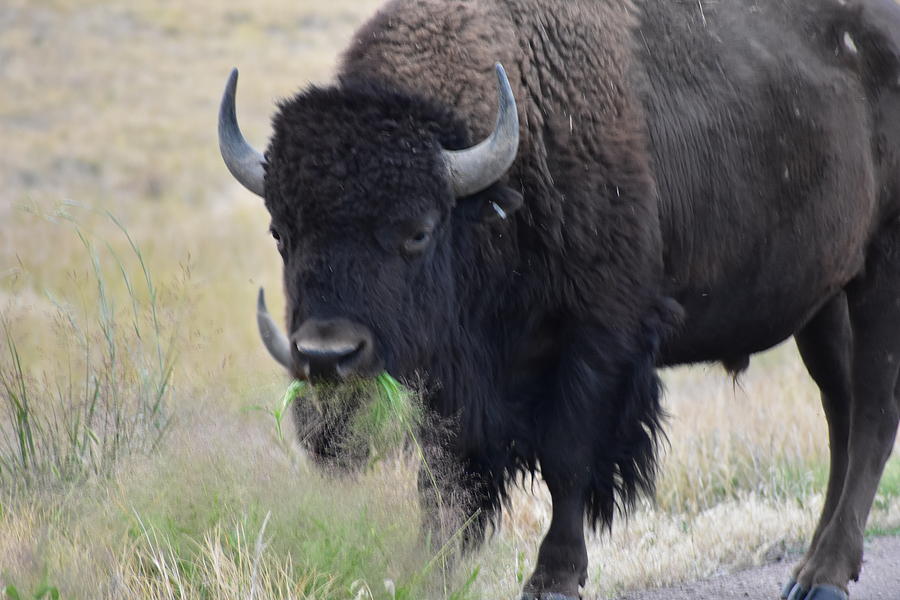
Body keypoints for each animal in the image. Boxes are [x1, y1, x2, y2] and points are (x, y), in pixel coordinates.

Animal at [216, 1, 900, 600]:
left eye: (417, 231)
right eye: (281, 231)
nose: (326, 357)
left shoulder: (598, 338)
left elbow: (568, 458)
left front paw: (553, 577)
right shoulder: (460, 377)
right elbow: (444, 477)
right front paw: (427, 570)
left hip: (879, 277)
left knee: (870, 412)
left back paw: (825, 577)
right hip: (823, 305)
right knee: (841, 415)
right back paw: (809, 569)